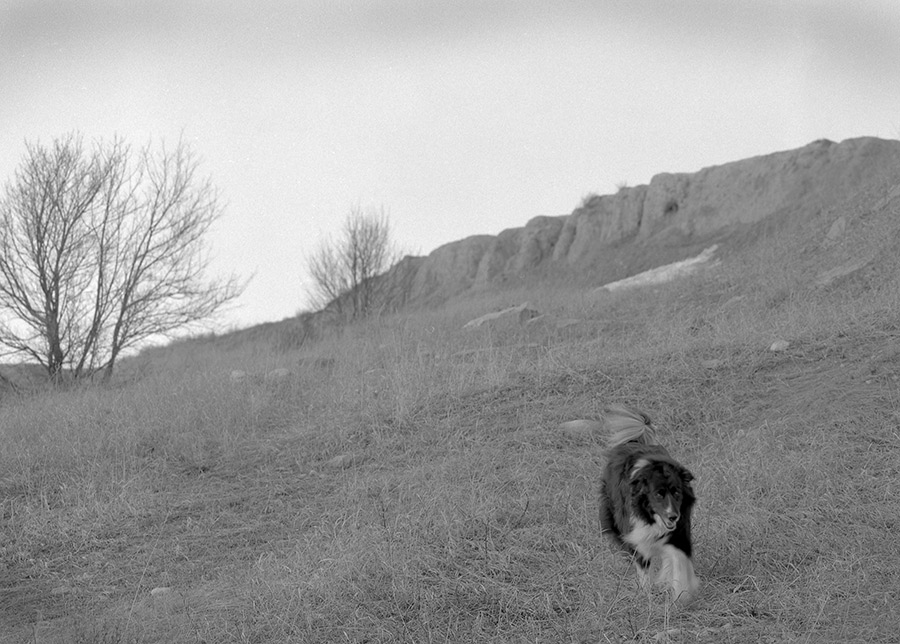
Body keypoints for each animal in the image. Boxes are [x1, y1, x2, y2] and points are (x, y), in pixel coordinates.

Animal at [600, 406, 700, 608]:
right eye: (658, 494)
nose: (672, 516)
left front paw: (681, 596)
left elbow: (679, 558)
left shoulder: (679, 529)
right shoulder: (635, 530)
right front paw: (647, 596)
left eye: (677, 492)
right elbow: (643, 564)